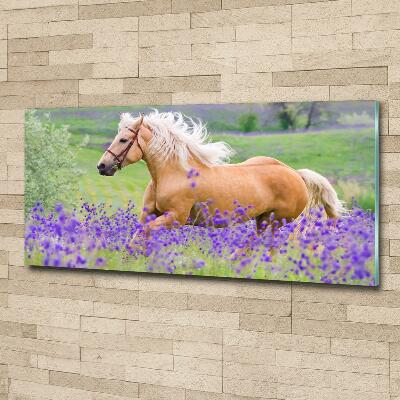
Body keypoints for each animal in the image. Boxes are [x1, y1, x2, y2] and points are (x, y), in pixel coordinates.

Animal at [97, 110, 344, 247]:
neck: (173, 173)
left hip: (275, 222)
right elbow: (138, 236)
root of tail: (296, 175)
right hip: (263, 220)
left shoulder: (175, 218)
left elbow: (143, 235)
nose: (102, 166)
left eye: (123, 139)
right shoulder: (149, 215)